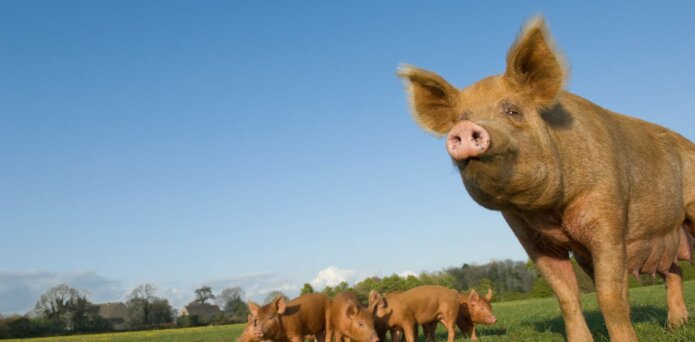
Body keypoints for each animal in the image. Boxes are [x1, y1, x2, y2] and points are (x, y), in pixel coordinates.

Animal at [396, 15, 695, 342]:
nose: (464, 129)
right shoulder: (529, 236)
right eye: (461, 118)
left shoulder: (610, 217)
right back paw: (675, 326)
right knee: (674, 272)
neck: (551, 211)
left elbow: (609, 296)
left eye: (513, 111)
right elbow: (566, 296)